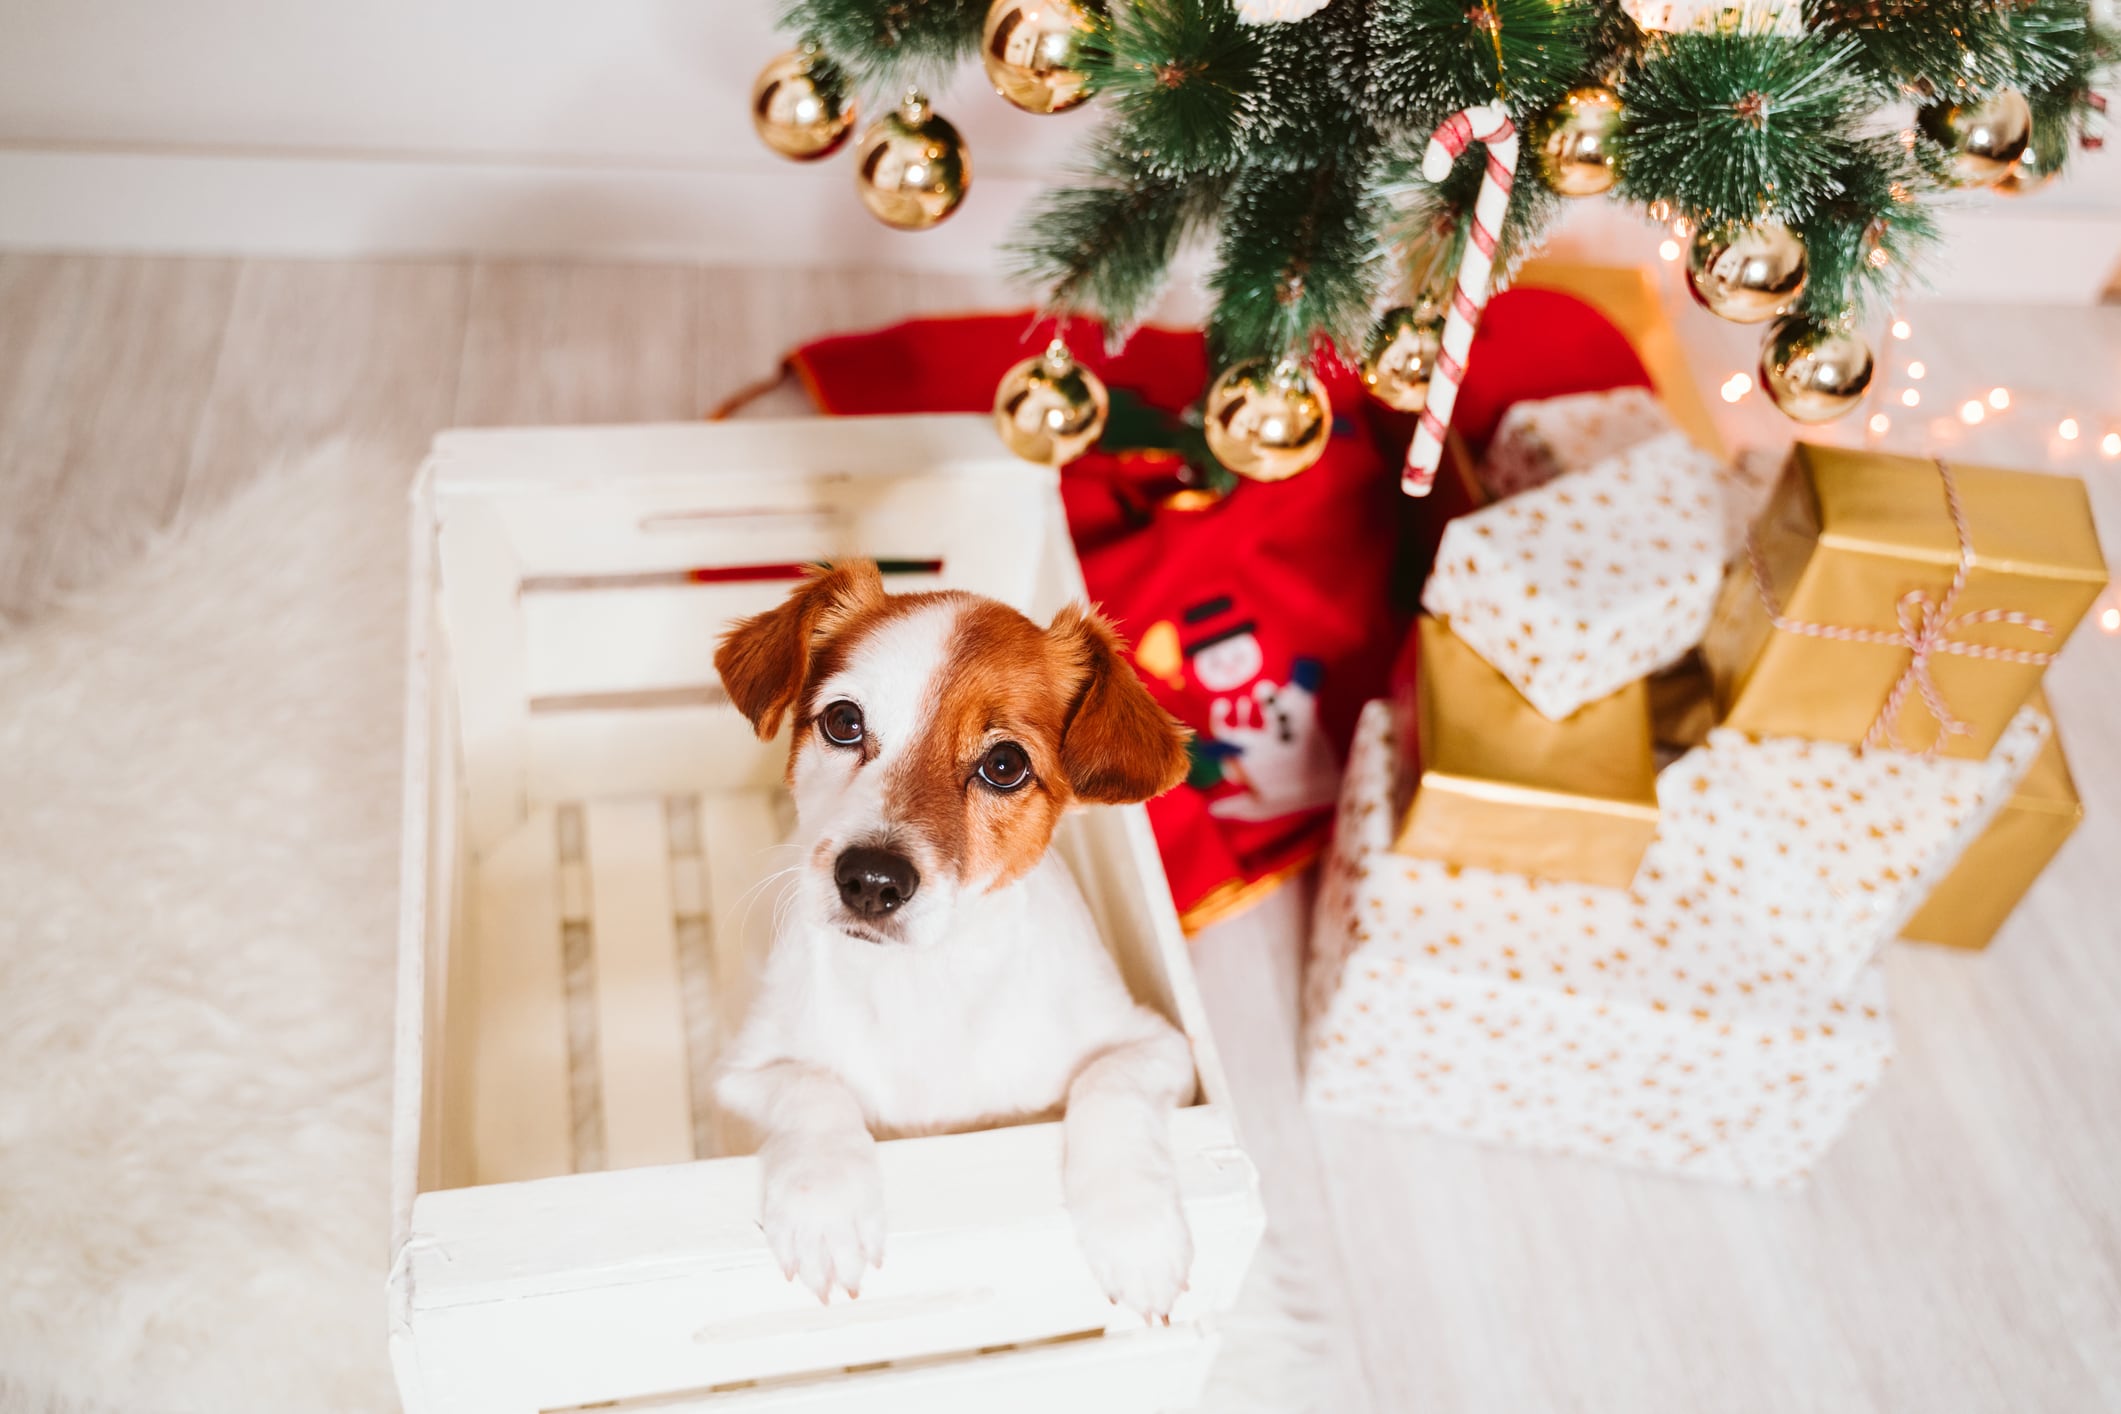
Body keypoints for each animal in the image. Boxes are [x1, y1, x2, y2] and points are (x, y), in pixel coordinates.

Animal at [712, 559, 1204, 1322]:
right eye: (843, 721)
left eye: (1004, 766)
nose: (870, 880)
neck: (922, 981)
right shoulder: (741, 1075)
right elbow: (812, 1086)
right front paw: (825, 1202)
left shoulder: (1160, 1047)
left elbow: (1109, 1084)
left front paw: (1136, 1227)